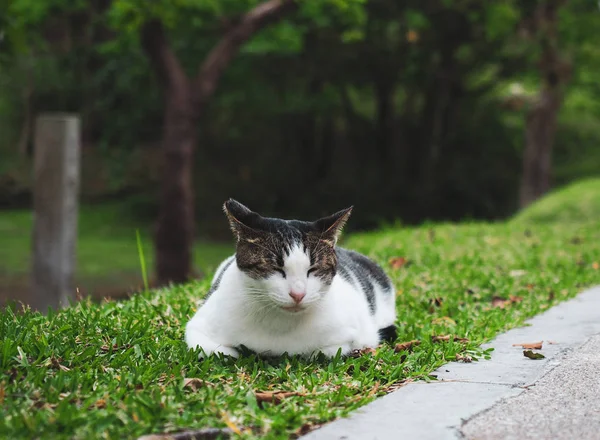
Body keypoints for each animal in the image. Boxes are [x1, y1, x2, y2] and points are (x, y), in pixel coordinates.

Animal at [185, 199, 396, 358]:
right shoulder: (198, 328)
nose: (298, 294)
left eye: (313, 269)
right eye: (276, 268)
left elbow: (327, 351)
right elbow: (215, 350)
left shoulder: (354, 334)